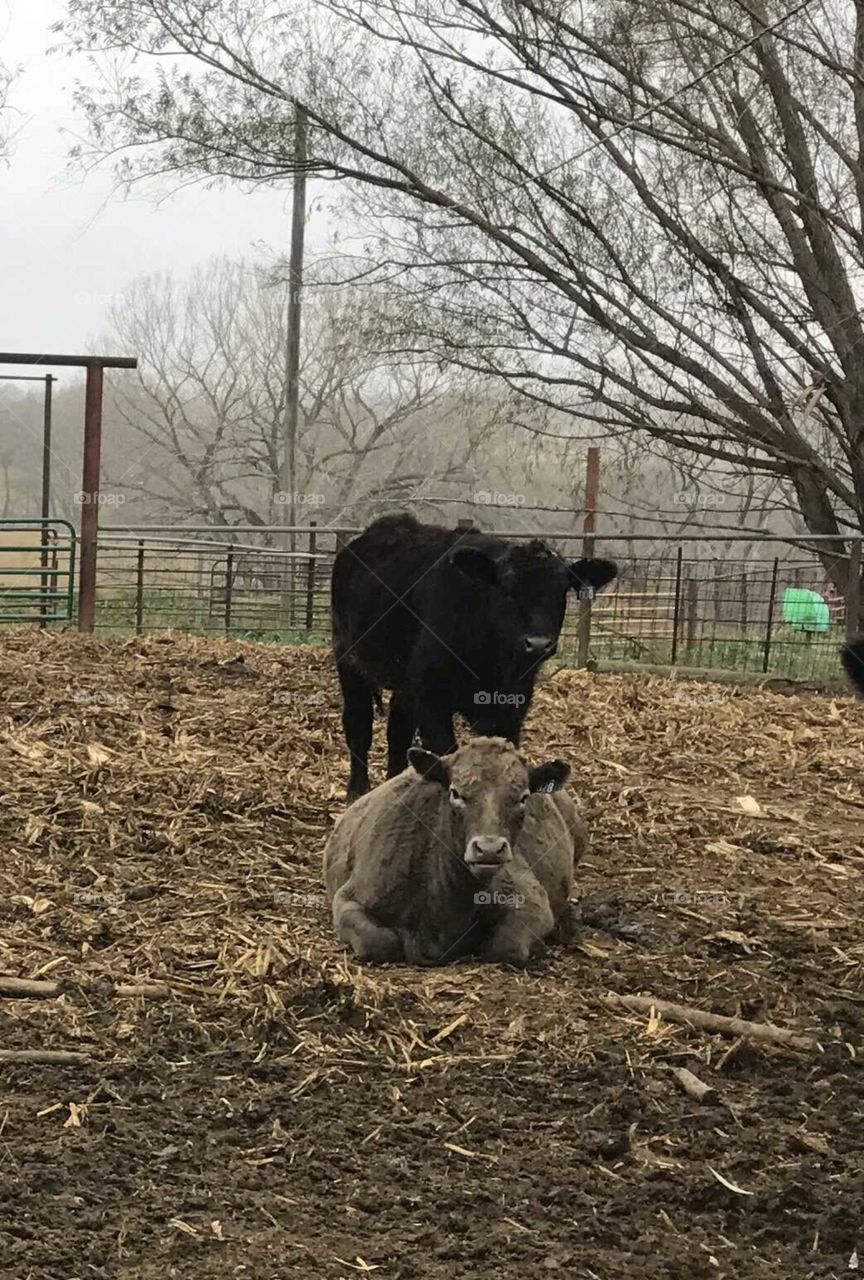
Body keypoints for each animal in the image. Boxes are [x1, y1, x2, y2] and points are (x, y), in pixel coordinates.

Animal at [323, 736, 588, 967]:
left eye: (523, 797)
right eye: (456, 792)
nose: (489, 849)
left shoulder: (531, 900)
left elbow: (506, 946)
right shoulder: (349, 898)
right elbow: (379, 942)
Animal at [331, 513, 617, 799]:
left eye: (561, 592)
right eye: (506, 590)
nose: (538, 644)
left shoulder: (511, 707)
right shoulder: (432, 702)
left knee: (398, 731)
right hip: (348, 657)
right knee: (359, 722)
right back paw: (357, 790)